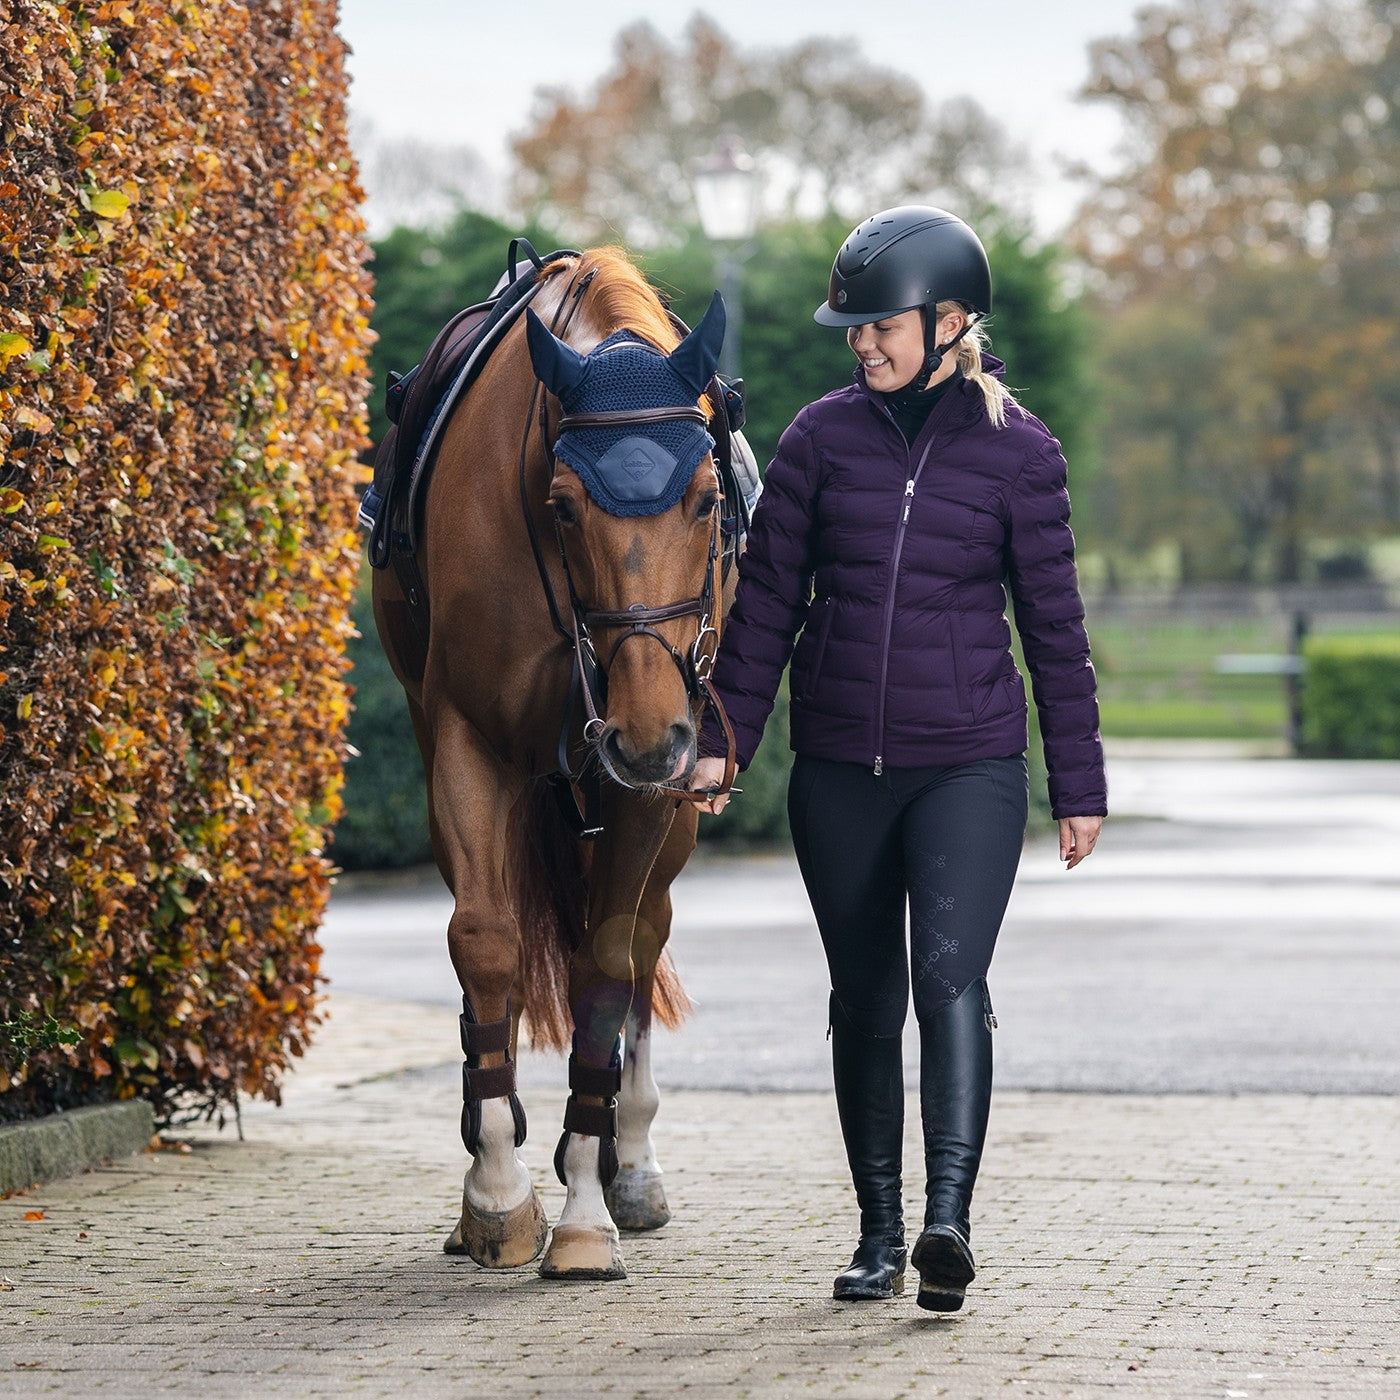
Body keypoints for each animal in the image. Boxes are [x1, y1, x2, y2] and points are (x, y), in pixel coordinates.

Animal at [372, 249, 739, 1282]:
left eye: (707, 497)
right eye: (565, 507)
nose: (646, 732)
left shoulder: (649, 781)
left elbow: (608, 964)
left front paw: (584, 1206)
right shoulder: (468, 741)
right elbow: (484, 940)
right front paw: (498, 1191)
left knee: (642, 937)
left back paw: (630, 1160)